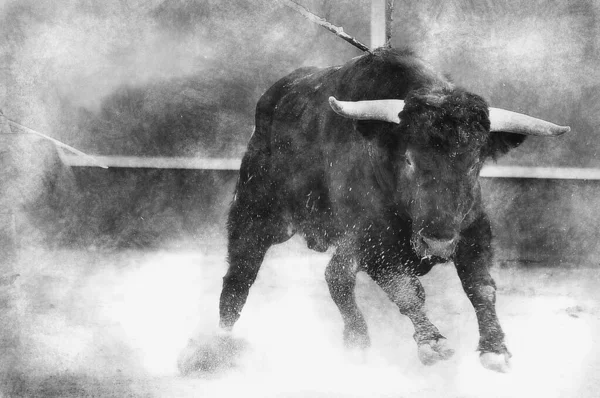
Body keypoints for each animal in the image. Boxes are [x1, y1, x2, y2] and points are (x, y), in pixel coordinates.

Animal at [216, 48, 568, 372]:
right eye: (409, 159)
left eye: (474, 164)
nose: (437, 243)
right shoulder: (373, 244)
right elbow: (401, 291)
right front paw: (431, 342)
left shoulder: (473, 231)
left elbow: (481, 287)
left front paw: (495, 348)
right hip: (256, 214)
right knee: (241, 276)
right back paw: (220, 345)